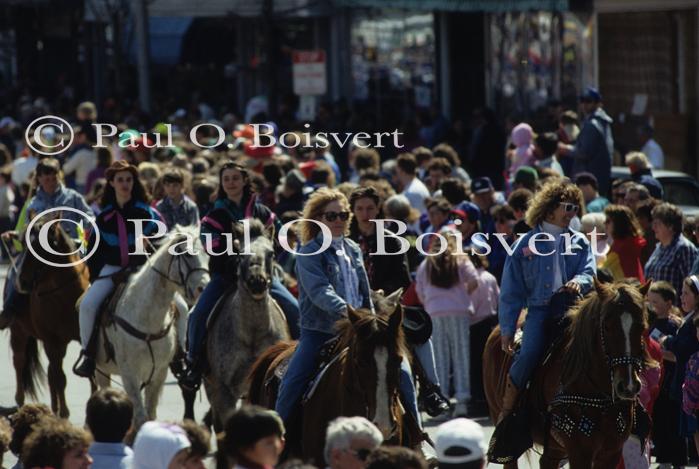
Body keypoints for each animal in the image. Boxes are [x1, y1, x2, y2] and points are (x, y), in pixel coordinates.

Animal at [10, 220, 89, 416]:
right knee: (19, 361)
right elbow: (60, 378)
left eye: (40, 246)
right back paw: (21, 400)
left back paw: (53, 407)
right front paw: (65, 413)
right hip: (19, 332)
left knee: (51, 371)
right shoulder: (51, 341)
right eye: (23, 245)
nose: (22, 281)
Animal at [95, 225, 211, 426]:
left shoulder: (158, 373)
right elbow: (140, 416)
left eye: (206, 254)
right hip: (101, 371)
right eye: (187, 254)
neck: (147, 317)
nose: (203, 288)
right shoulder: (129, 374)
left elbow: (150, 413)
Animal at [484, 280, 652, 466]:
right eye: (607, 326)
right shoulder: (579, 452)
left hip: (554, 449)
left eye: (642, 327)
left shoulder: (611, 452)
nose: (628, 386)